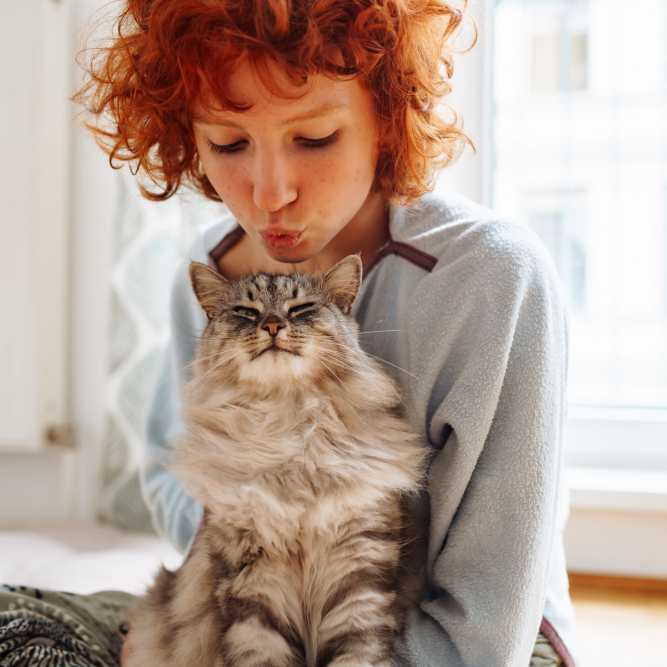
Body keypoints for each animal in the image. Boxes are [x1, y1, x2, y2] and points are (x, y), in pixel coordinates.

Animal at [125, 253, 428, 664]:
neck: (288, 424)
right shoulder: (252, 584)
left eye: (300, 309)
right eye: (246, 312)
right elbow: (259, 650)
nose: (271, 324)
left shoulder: (359, 576)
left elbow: (357, 652)